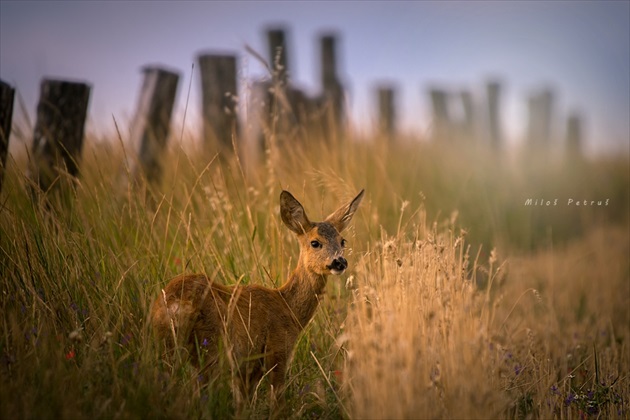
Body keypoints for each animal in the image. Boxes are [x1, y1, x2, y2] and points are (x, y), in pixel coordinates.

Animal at [150, 189, 362, 402]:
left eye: (342, 241)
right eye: (315, 242)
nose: (339, 262)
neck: (288, 306)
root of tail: (175, 302)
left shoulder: (247, 370)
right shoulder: (278, 349)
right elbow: (277, 400)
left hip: (166, 346)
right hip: (211, 347)